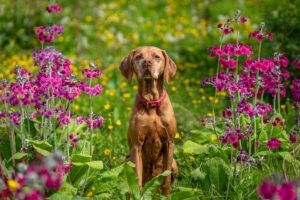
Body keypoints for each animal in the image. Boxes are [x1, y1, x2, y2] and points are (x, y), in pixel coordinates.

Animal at [119, 46, 178, 195]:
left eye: (157, 56)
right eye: (139, 56)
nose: (146, 62)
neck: (151, 103)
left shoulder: (169, 143)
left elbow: (166, 179)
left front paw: (166, 196)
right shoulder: (136, 146)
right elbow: (137, 179)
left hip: (174, 164)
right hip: (127, 160)